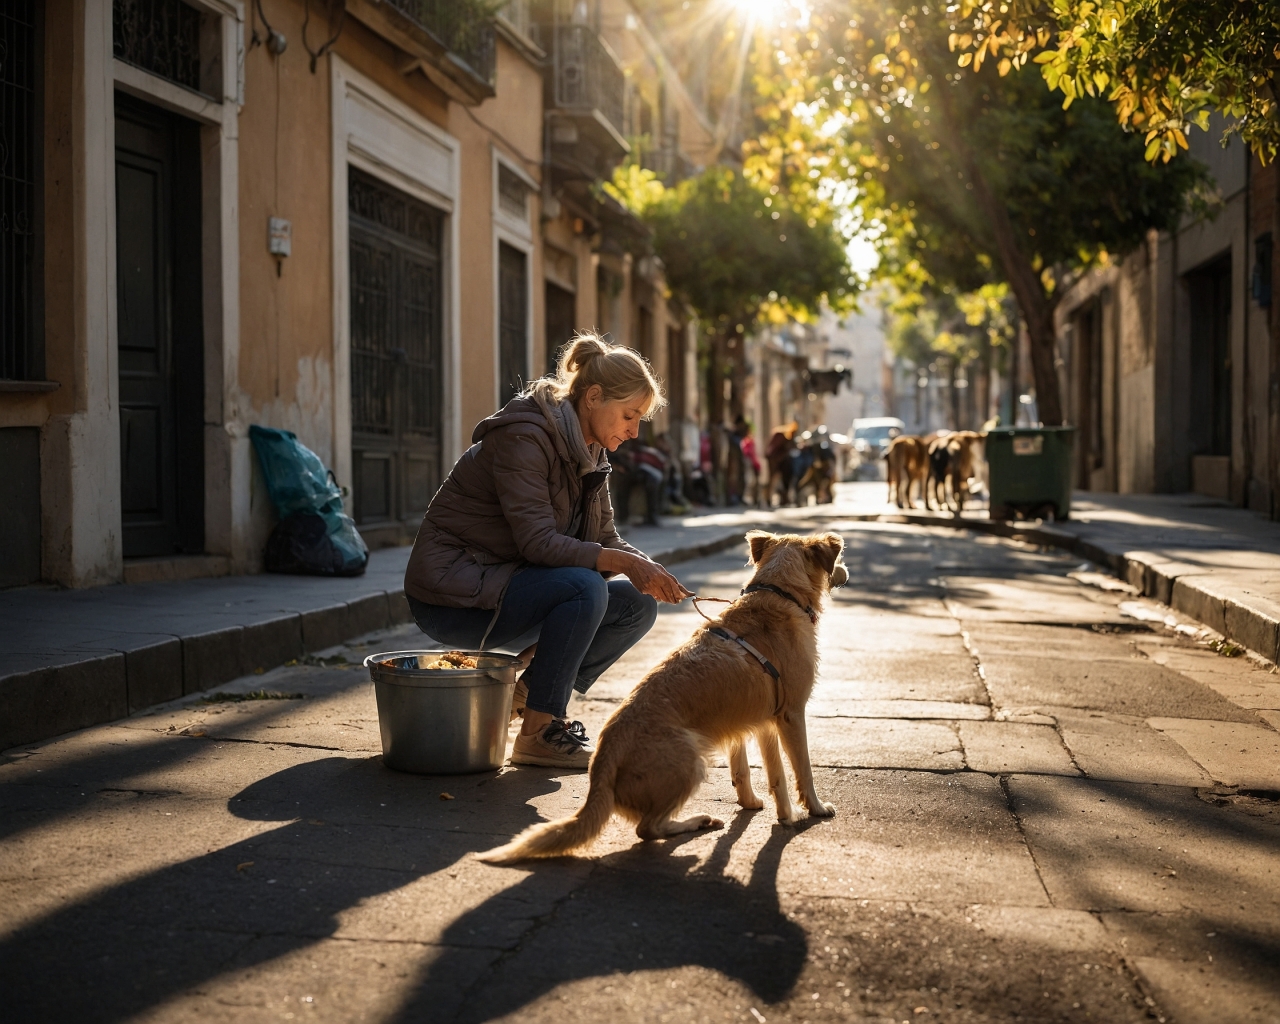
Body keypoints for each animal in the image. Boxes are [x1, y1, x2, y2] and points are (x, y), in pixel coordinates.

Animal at [481, 527, 849, 865]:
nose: (845, 572)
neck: (778, 594)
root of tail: (601, 766)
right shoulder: (791, 715)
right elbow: (802, 769)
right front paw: (815, 808)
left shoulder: (759, 723)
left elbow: (764, 773)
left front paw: (771, 809)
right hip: (691, 758)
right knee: (647, 829)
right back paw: (694, 822)